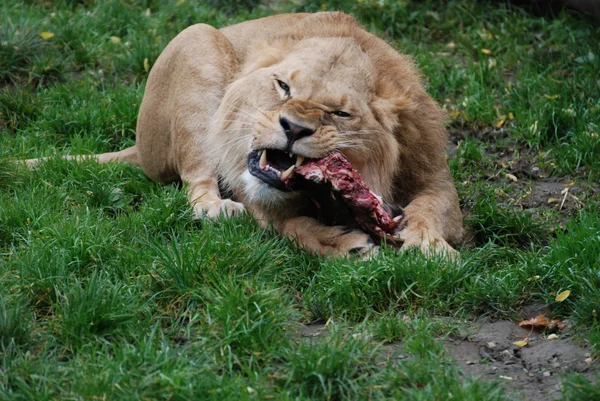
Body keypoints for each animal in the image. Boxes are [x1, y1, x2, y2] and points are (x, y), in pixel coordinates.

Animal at [27, 12, 464, 258]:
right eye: (283, 87)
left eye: (340, 113)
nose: (294, 128)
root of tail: (139, 146)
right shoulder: (252, 193)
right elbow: (286, 225)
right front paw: (340, 244)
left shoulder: (435, 175)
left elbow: (432, 208)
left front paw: (428, 245)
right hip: (198, 40)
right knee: (196, 184)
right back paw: (215, 208)